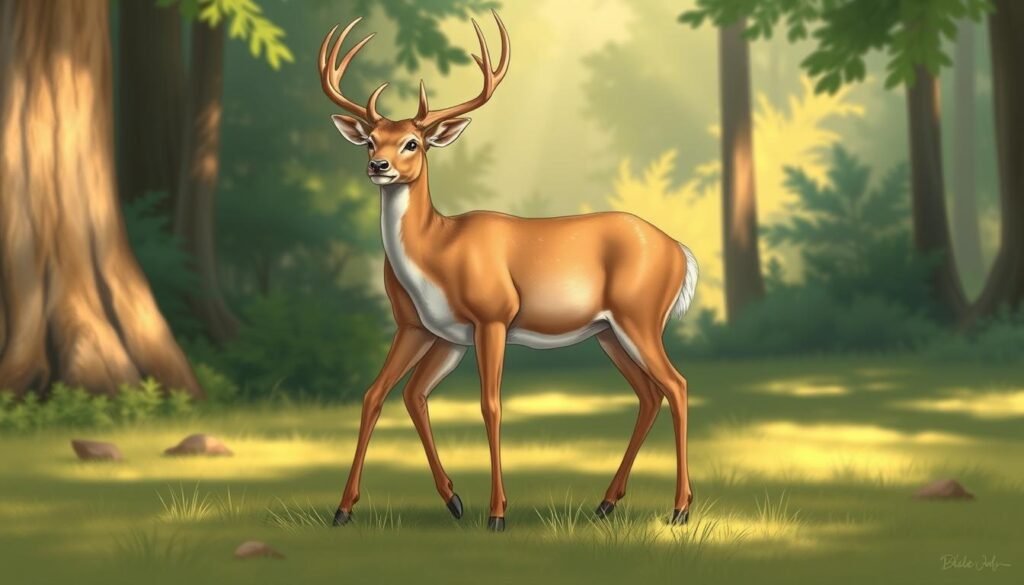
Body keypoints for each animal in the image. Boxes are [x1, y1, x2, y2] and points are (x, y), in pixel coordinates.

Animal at [319, 11, 699, 532]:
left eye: (413, 143)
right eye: (372, 140)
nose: (378, 166)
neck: (438, 248)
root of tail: (680, 250)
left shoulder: (493, 316)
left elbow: (490, 404)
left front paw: (497, 512)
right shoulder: (422, 328)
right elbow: (387, 394)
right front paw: (365, 506)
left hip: (639, 316)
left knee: (677, 385)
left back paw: (680, 509)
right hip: (608, 331)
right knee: (649, 394)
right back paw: (607, 503)